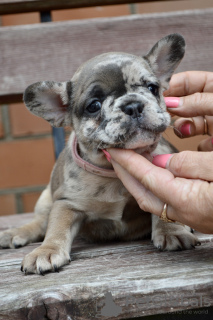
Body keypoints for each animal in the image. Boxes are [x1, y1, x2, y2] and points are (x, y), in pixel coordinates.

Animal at [0, 34, 200, 276]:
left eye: (153, 88)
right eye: (94, 105)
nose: (133, 105)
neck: (111, 171)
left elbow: (161, 205)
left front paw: (172, 231)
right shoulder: (67, 202)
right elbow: (57, 227)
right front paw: (46, 250)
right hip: (46, 197)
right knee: (41, 223)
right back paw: (15, 233)